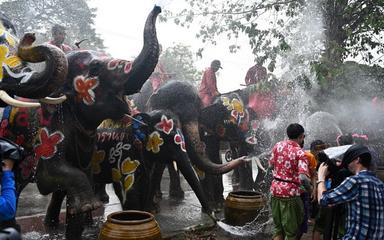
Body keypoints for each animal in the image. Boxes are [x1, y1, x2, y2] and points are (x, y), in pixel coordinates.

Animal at [0, 6, 161, 239]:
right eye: (94, 68)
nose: (158, 8)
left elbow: (79, 179)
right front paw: (88, 205)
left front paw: (82, 213)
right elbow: (49, 176)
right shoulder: (50, 127)